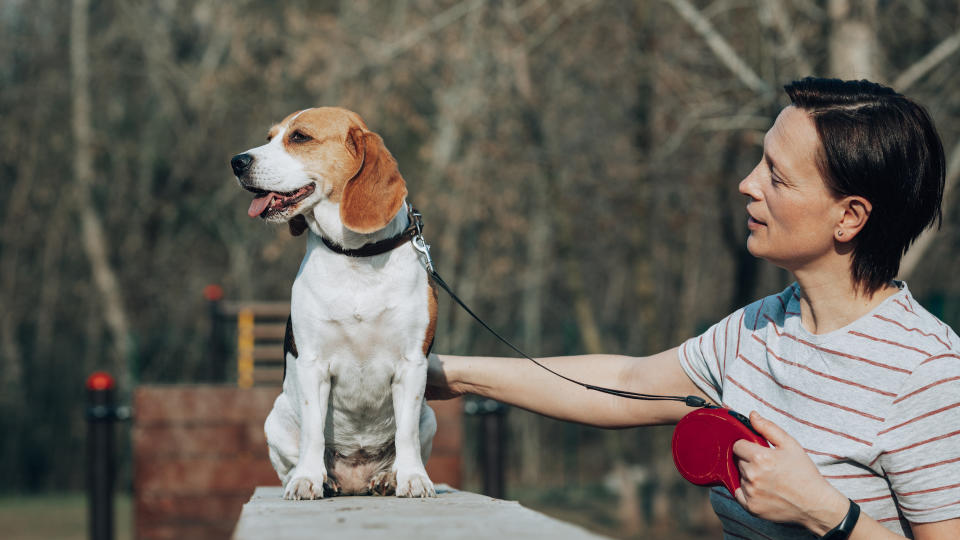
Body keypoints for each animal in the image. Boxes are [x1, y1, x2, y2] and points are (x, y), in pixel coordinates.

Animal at [231, 107, 440, 500]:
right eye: (270, 137)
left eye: (299, 137)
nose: (237, 161)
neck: (355, 257)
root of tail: (355, 479)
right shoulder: (313, 364)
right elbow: (313, 432)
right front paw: (307, 479)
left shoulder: (412, 365)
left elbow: (405, 435)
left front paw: (413, 478)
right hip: (275, 420)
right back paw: (321, 477)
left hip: (429, 416)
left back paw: (388, 477)